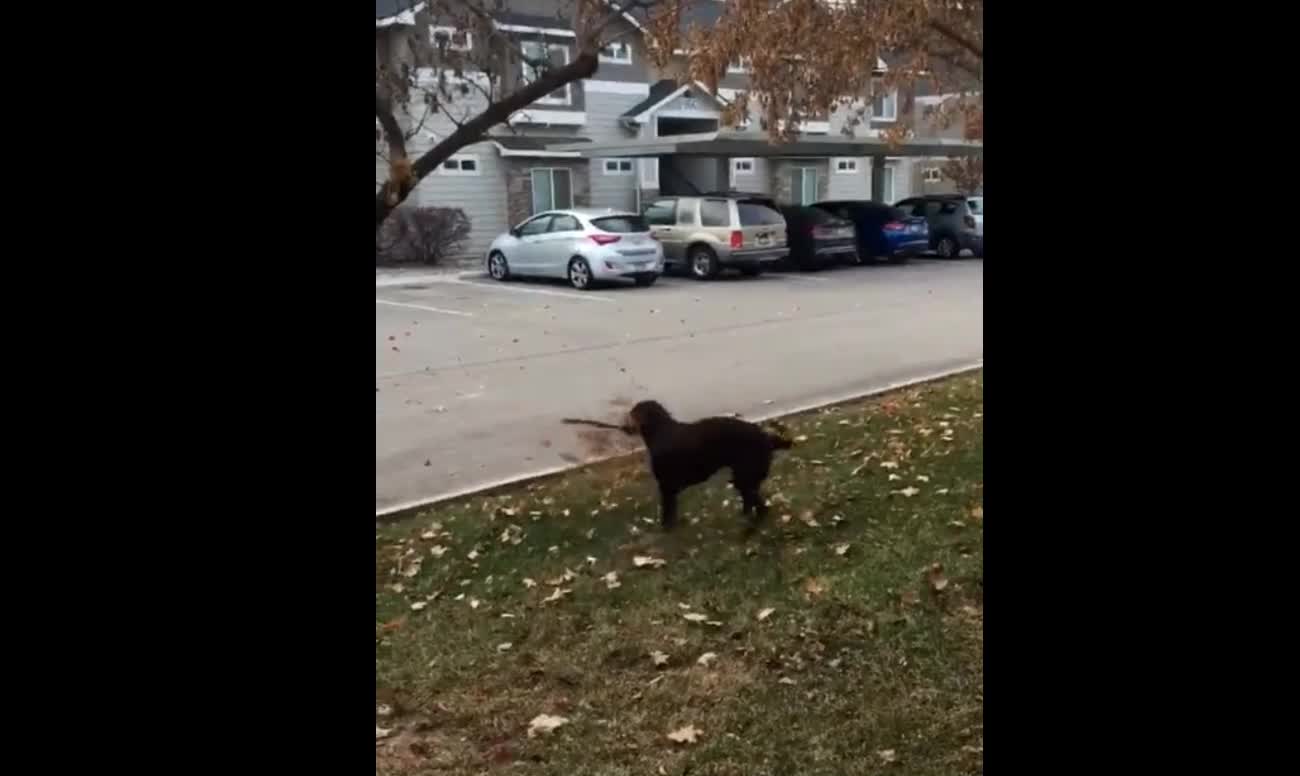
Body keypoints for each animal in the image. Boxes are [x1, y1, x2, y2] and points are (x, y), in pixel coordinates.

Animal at [621, 400, 790, 532]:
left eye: (631, 415)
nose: (623, 427)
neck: (661, 430)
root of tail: (766, 437)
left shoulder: (666, 487)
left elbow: (667, 514)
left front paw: (666, 530)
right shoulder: (670, 489)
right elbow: (672, 513)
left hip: (744, 477)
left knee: (759, 507)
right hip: (745, 479)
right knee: (754, 504)